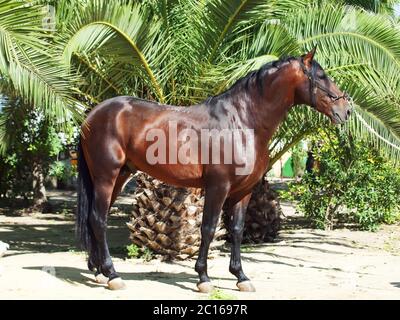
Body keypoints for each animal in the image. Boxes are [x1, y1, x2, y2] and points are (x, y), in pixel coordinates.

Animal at [76, 48, 352, 292]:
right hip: (106, 176)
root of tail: (92, 115)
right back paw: (112, 274)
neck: (243, 122)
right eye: (321, 76)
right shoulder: (218, 186)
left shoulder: (244, 191)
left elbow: (237, 230)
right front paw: (203, 278)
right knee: (98, 219)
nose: (346, 110)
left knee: (94, 218)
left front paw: (241, 277)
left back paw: (99, 271)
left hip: (118, 176)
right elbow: (208, 228)